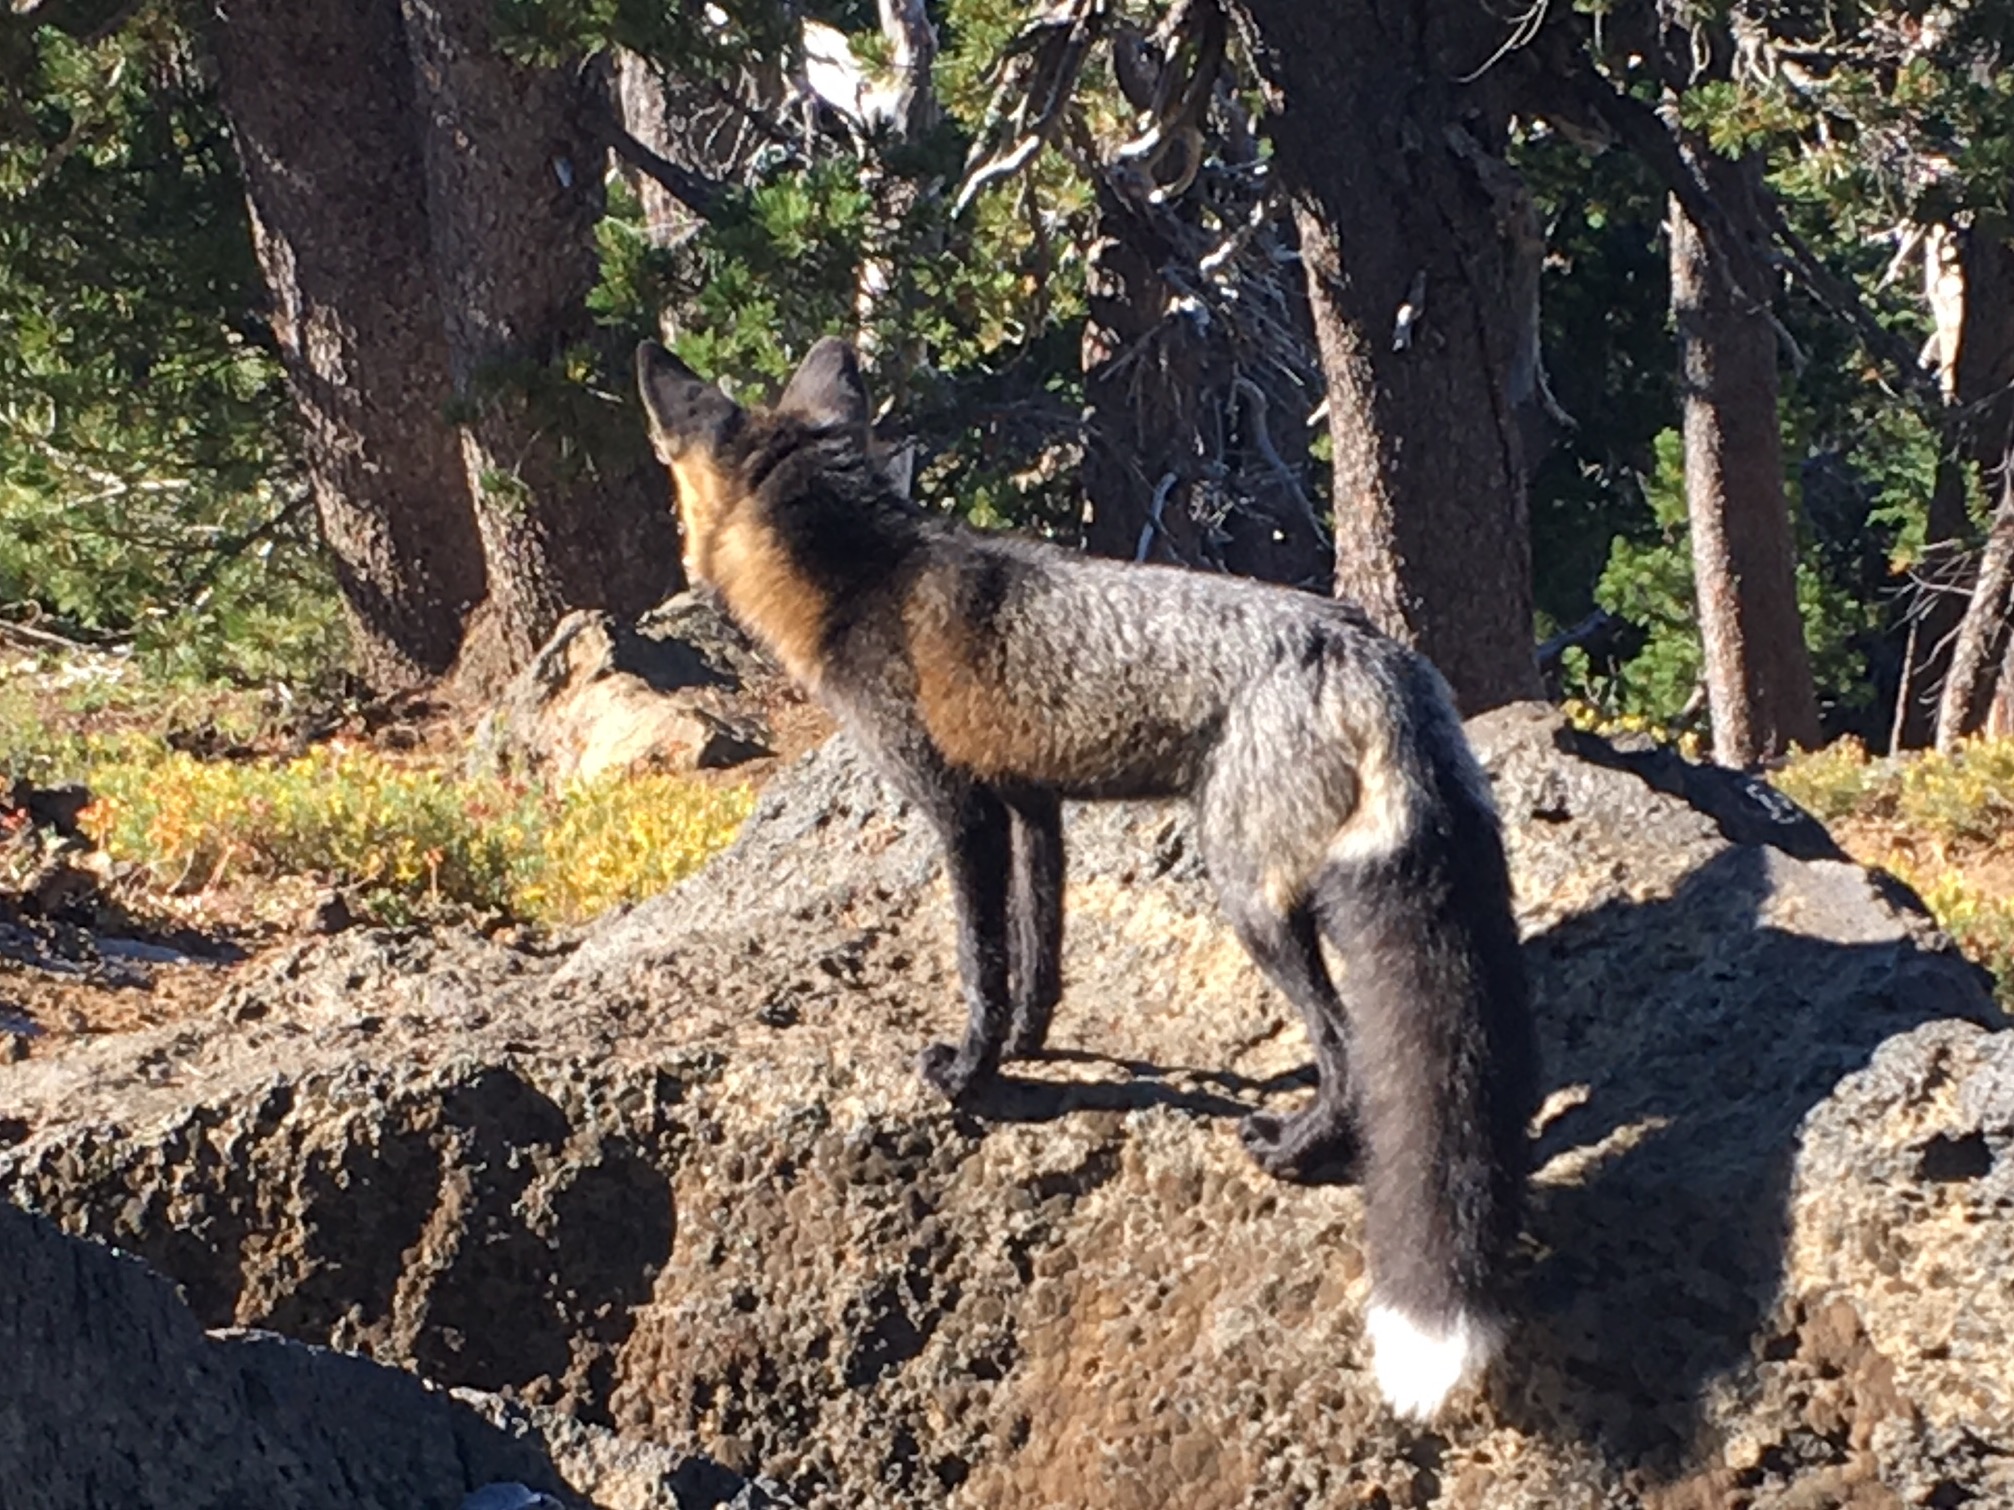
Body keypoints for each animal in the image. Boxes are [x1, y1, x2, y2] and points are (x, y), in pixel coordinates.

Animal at [636, 336, 1538, 1420]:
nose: (675, 564)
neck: (870, 581)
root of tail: (1371, 655)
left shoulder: (962, 811)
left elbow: (980, 960)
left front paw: (972, 1074)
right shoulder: (1033, 806)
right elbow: (1042, 949)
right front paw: (1033, 1043)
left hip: (1246, 893)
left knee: (1347, 1045)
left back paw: (1294, 1151)